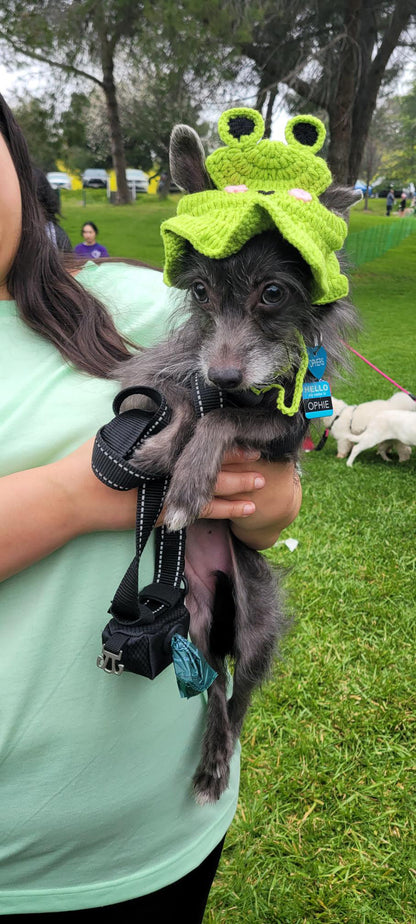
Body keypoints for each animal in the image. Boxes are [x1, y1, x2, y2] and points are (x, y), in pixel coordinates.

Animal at [115, 110, 360, 800]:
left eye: (273, 293)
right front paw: (160, 449)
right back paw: (211, 756)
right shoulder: (181, 369)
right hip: (189, 625)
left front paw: (189, 483)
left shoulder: (285, 433)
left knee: (240, 693)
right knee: (214, 687)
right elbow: (182, 398)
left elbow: (225, 418)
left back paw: (219, 762)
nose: (223, 373)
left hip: (257, 625)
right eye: (199, 292)